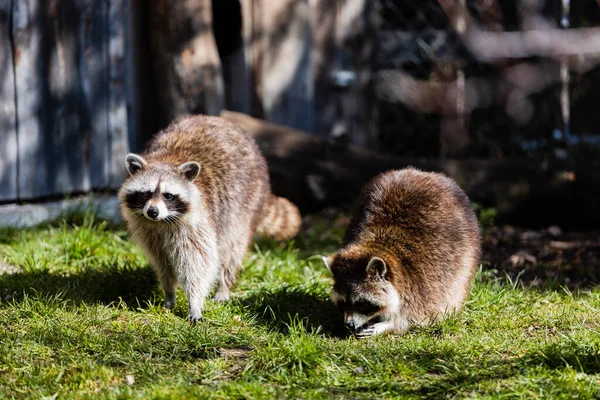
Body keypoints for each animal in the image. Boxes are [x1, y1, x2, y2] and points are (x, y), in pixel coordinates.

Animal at [118, 115, 300, 322]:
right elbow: (162, 262)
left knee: (231, 246)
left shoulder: (197, 222)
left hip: (245, 201)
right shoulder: (148, 230)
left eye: (168, 196)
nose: (153, 211)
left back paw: (224, 284)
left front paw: (195, 301)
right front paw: (169, 291)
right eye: (146, 193)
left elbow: (198, 261)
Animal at [322, 166, 480, 338]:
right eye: (342, 303)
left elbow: (422, 314)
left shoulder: (424, 281)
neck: (380, 247)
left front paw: (388, 324)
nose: (349, 325)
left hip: (467, 248)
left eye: (363, 304)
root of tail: (422, 173)